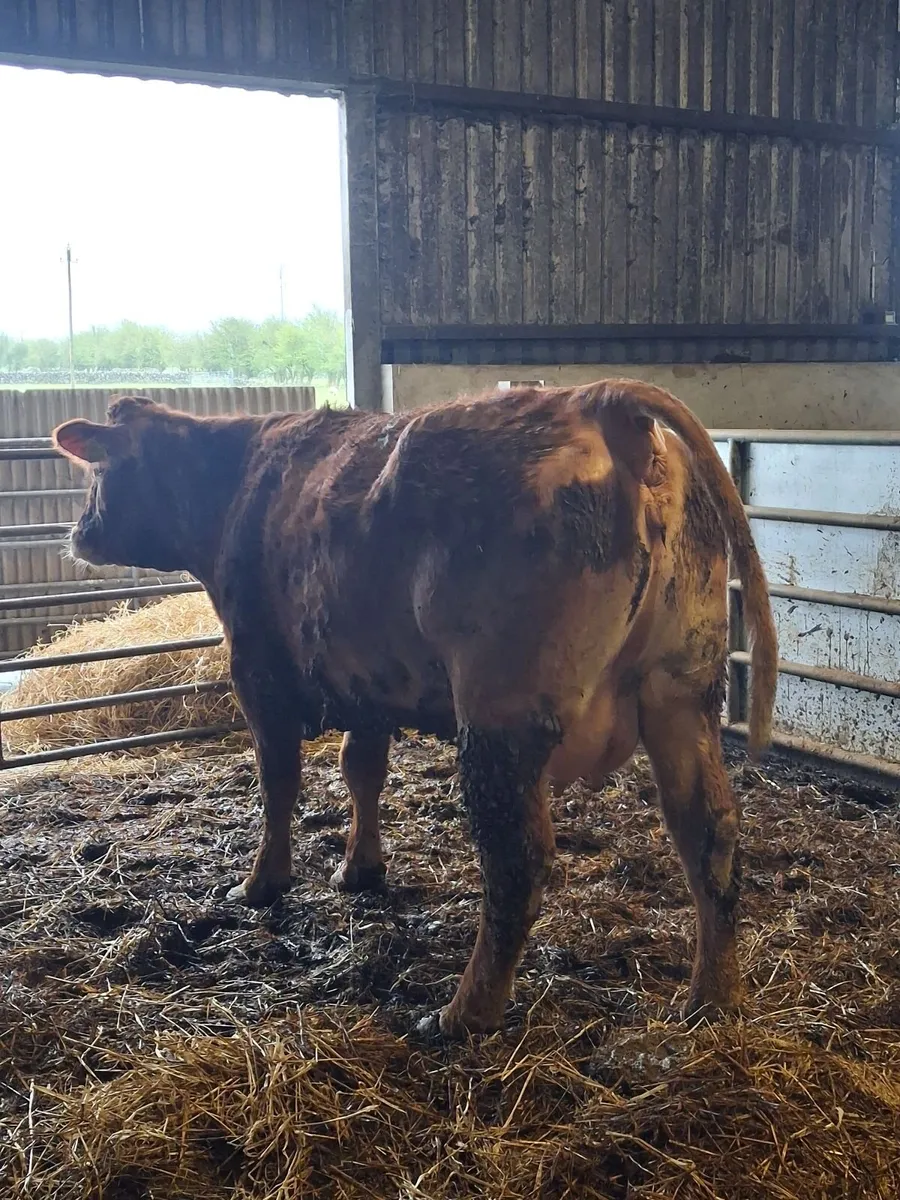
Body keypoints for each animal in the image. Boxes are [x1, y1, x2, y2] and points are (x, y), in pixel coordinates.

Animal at [52, 380, 777, 1037]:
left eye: (100, 469)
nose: (79, 532)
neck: (238, 483)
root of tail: (595, 402)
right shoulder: (368, 687)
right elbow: (362, 771)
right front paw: (360, 868)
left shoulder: (260, 677)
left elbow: (279, 787)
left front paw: (261, 884)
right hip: (682, 696)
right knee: (710, 834)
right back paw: (713, 998)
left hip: (501, 715)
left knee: (517, 862)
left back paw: (463, 1013)